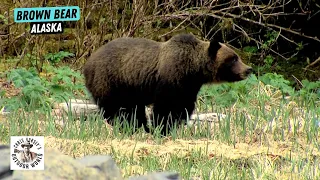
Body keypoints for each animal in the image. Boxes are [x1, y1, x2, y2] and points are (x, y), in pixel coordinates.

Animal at [82, 33, 252, 135]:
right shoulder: (171, 79)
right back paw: (127, 126)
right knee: (116, 108)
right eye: (233, 58)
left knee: (133, 108)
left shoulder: (189, 87)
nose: (248, 69)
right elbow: (166, 106)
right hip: (111, 79)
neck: (193, 69)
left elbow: (183, 106)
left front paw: (174, 125)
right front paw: (162, 127)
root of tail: (88, 62)